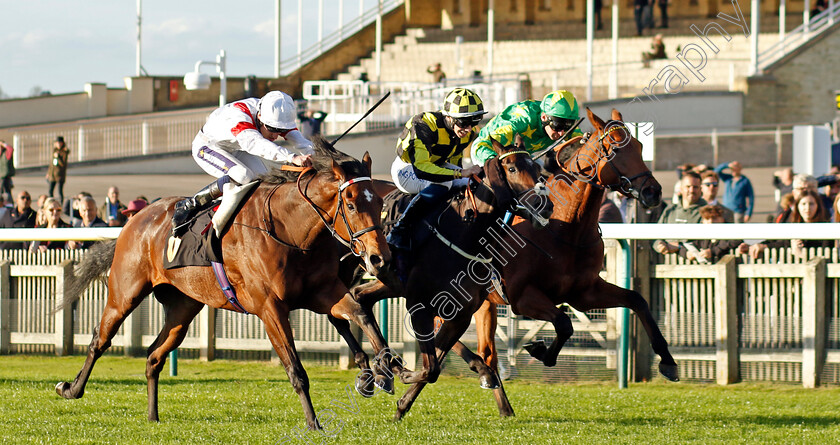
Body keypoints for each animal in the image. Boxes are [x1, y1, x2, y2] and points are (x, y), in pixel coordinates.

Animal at [55, 140, 398, 430]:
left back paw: (152, 416)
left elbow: (360, 313)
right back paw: (70, 388)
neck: (288, 230)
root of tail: (135, 219)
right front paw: (314, 423)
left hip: (182, 308)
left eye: (379, 202)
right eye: (351, 204)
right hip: (124, 294)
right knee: (99, 340)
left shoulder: (323, 292)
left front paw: (383, 370)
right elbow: (296, 369)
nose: (380, 258)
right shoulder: (270, 308)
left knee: (154, 355)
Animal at [344, 144, 556, 418]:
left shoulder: (460, 313)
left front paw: (400, 399)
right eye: (511, 169)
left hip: (388, 282)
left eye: (537, 170)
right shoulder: (420, 306)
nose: (546, 205)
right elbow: (430, 366)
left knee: (360, 297)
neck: (464, 233)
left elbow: (434, 365)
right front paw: (397, 371)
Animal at [398, 107, 680, 420]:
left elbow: (637, 300)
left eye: (640, 147)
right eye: (615, 150)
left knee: (483, 351)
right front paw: (539, 350)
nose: (653, 192)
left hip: (483, 304)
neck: (565, 227)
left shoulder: (584, 293)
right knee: (446, 341)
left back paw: (492, 400)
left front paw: (668, 362)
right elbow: (564, 323)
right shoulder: (523, 297)